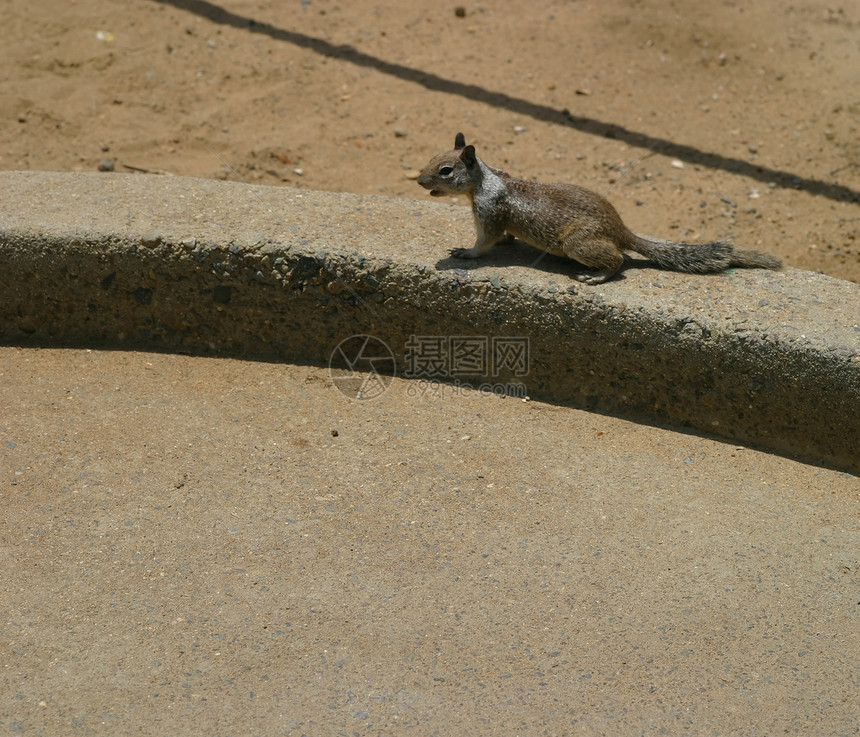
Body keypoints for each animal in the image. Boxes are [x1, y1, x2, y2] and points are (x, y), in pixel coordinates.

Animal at [414, 131, 784, 284]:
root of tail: (621, 230)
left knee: (618, 260)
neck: (485, 180)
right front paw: (507, 241)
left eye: (445, 171)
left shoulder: (488, 212)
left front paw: (466, 252)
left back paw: (595, 277)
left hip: (576, 243)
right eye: (430, 158)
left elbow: (484, 242)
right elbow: (504, 235)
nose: (418, 180)